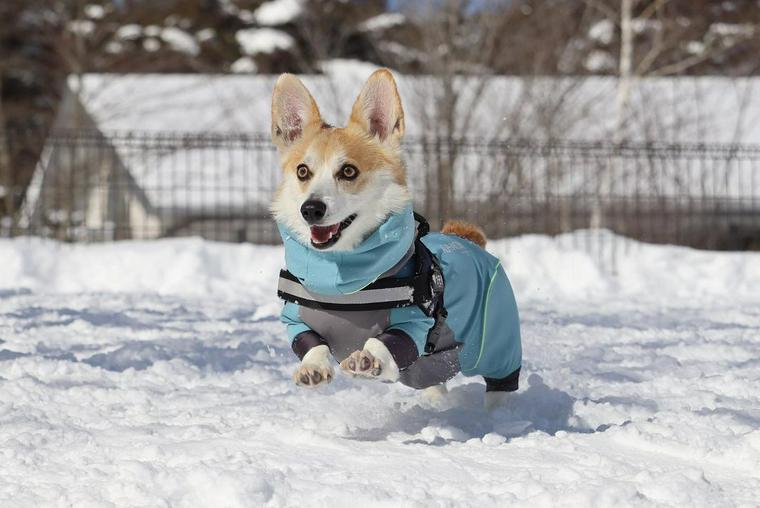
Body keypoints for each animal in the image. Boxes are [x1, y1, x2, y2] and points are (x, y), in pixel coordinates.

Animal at [268, 69, 524, 406]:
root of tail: (466, 238)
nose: (310, 209)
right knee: (433, 380)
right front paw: (312, 368)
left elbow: (385, 343)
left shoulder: (415, 323)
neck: (341, 284)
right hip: (433, 367)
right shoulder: (295, 321)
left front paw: (366, 359)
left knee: (501, 381)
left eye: (348, 171)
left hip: (497, 343)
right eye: (302, 171)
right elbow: (313, 344)